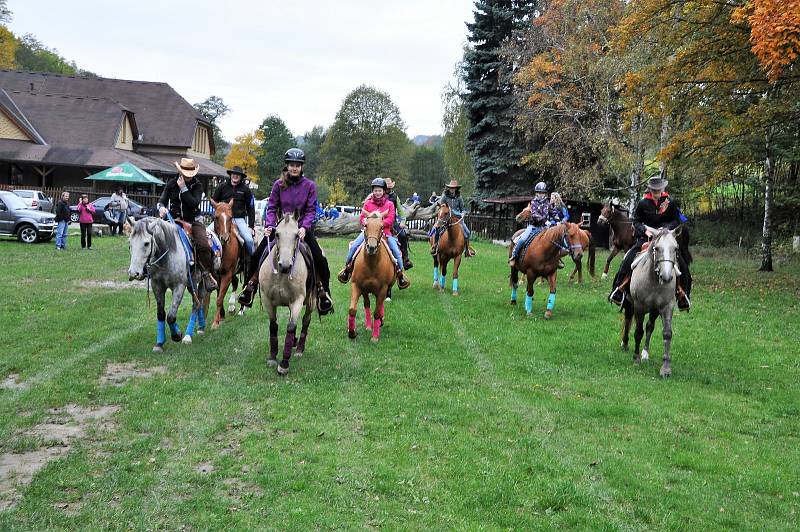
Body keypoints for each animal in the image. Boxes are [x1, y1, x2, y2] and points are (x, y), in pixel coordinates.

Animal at [127, 218, 209, 352]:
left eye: (146, 243)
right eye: (130, 243)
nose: (134, 273)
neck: (168, 256)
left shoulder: (179, 286)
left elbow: (171, 316)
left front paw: (177, 335)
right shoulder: (157, 286)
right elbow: (161, 314)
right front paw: (159, 343)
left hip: (201, 280)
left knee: (196, 303)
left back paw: (188, 336)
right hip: (192, 284)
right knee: (198, 302)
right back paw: (200, 326)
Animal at [208, 200, 242, 328]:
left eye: (230, 217)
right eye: (216, 217)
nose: (225, 238)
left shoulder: (227, 274)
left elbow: (219, 298)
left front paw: (215, 322)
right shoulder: (217, 275)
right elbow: (219, 295)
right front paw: (221, 317)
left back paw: (241, 309)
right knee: (236, 282)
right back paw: (232, 307)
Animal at [260, 210, 316, 376]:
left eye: (297, 235)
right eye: (277, 234)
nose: (285, 266)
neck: (281, 276)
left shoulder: (297, 300)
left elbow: (291, 327)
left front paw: (284, 364)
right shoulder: (267, 300)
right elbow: (273, 325)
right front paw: (272, 357)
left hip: (311, 301)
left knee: (305, 321)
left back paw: (298, 349)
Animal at [346, 210, 394, 342]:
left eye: (381, 227)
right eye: (366, 225)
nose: (371, 247)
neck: (372, 265)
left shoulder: (383, 288)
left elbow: (377, 312)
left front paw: (375, 337)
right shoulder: (357, 285)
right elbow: (352, 309)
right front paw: (351, 332)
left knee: (379, 305)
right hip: (365, 290)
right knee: (367, 304)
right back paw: (368, 325)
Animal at [620, 225, 684, 378]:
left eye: (675, 248)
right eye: (657, 248)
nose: (666, 277)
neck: (654, 281)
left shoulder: (667, 307)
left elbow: (666, 333)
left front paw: (665, 368)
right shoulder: (639, 306)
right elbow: (638, 331)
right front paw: (636, 358)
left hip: (654, 310)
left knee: (650, 326)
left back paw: (645, 353)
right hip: (630, 304)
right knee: (628, 319)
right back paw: (625, 344)